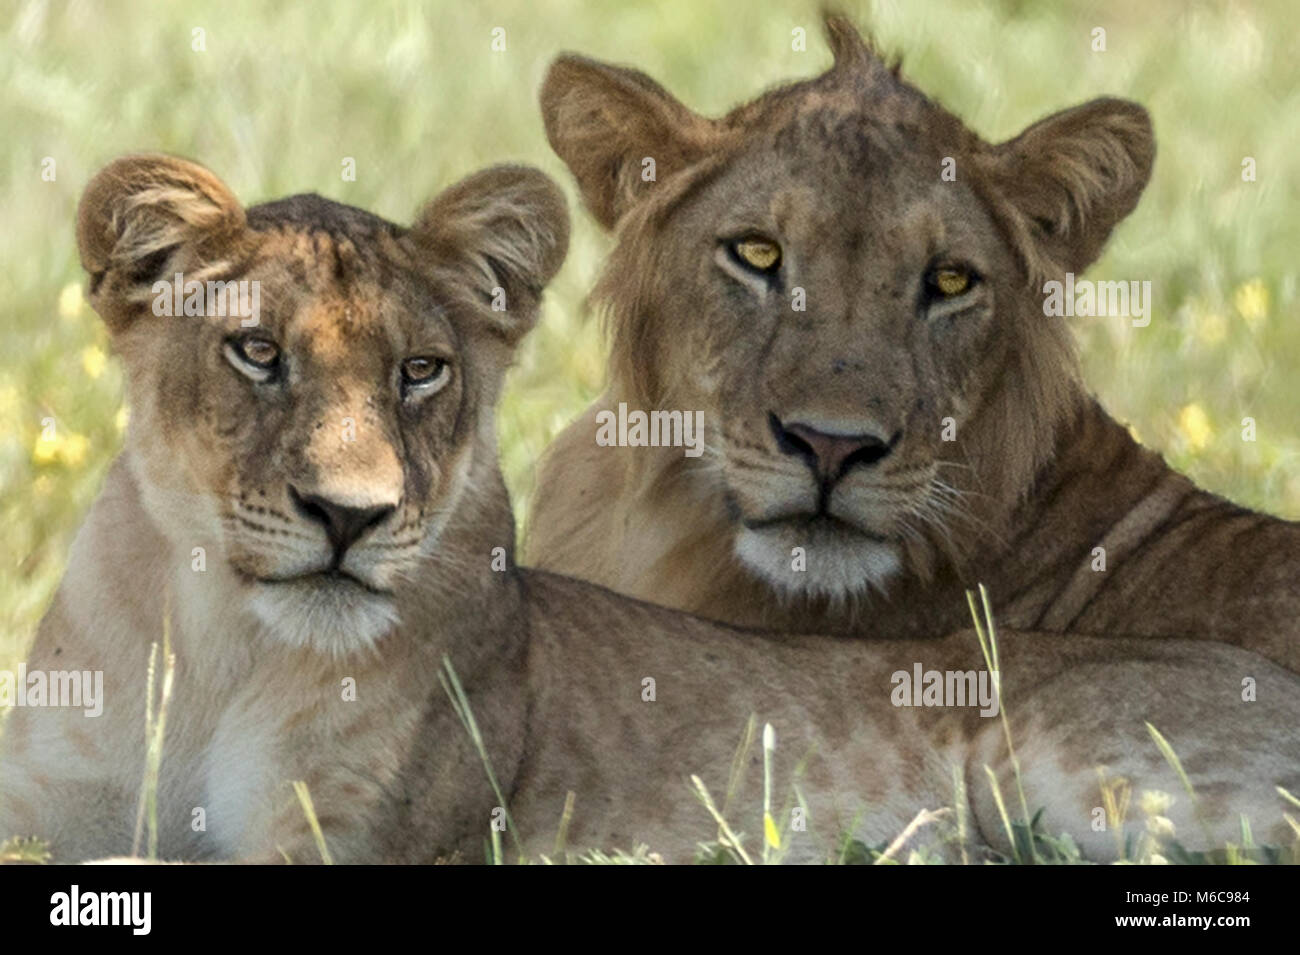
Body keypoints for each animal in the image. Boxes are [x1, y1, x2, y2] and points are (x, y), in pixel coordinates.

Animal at [2, 151, 1300, 867]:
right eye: (257, 353)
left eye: (420, 372)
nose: (350, 515)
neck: (217, 643)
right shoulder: (48, 806)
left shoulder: (357, 839)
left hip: (1078, 772)